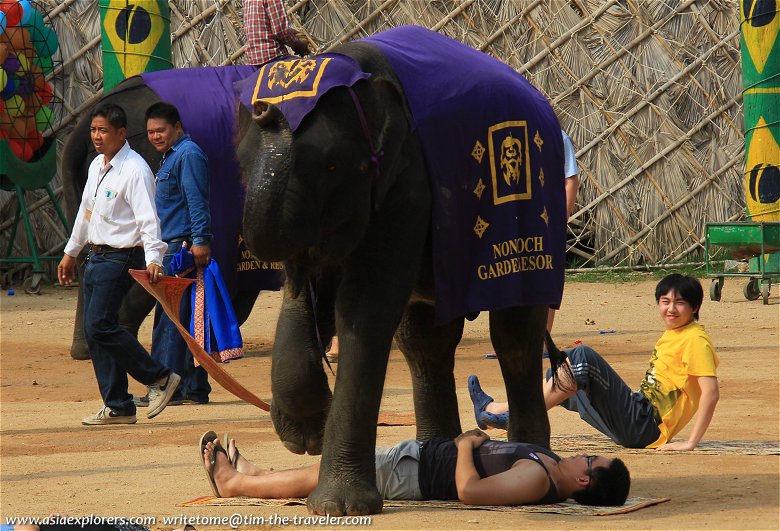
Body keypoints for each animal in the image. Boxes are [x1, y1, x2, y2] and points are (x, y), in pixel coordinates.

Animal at [236, 27, 568, 516]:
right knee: (426, 341)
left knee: (514, 334)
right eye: (240, 164)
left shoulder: (409, 183)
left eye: (332, 165)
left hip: (536, 217)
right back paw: (442, 453)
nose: (267, 110)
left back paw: (530, 455)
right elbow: (306, 294)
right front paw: (305, 433)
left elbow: (364, 308)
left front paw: (338, 507)